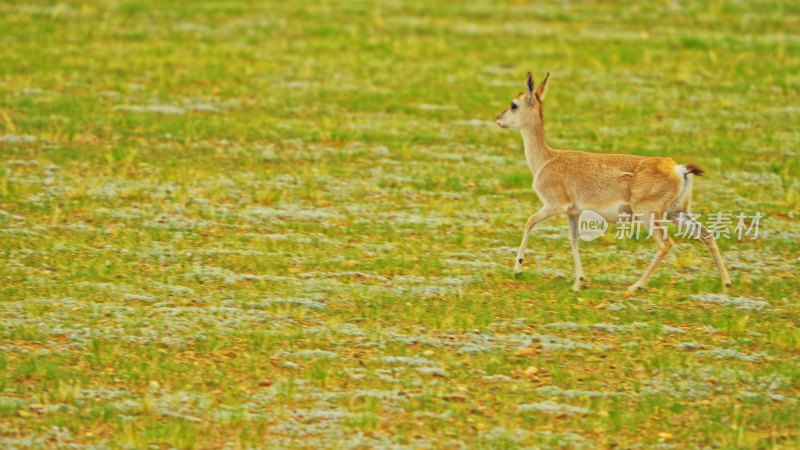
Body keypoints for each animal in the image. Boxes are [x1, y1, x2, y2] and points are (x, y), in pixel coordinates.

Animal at [496, 72, 736, 294]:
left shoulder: (554, 205)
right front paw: (578, 282)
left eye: (514, 104)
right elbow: (573, 240)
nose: (498, 118)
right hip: (676, 213)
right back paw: (726, 283)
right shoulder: (572, 213)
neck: (547, 159)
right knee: (707, 234)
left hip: (648, 214)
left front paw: (518, 268)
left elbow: (529, 222)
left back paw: (635, 286)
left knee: (665, 243)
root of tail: (679, 169)